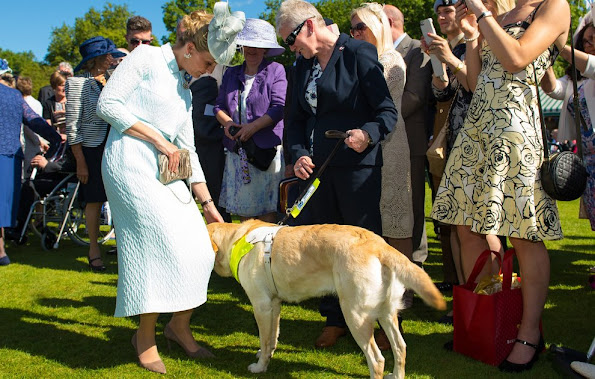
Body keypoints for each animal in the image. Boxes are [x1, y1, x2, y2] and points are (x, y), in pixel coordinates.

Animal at [207, 220, 444, 379]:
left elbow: (265, 340)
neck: (235, 238)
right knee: (400, 347)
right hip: (386, 313)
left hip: (355, 315)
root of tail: (379, 245)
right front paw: (265, 355)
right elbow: (273, 336)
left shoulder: (261, 305)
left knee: (377, 360)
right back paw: (396, 374)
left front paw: (260, 366)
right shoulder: (274, 304)